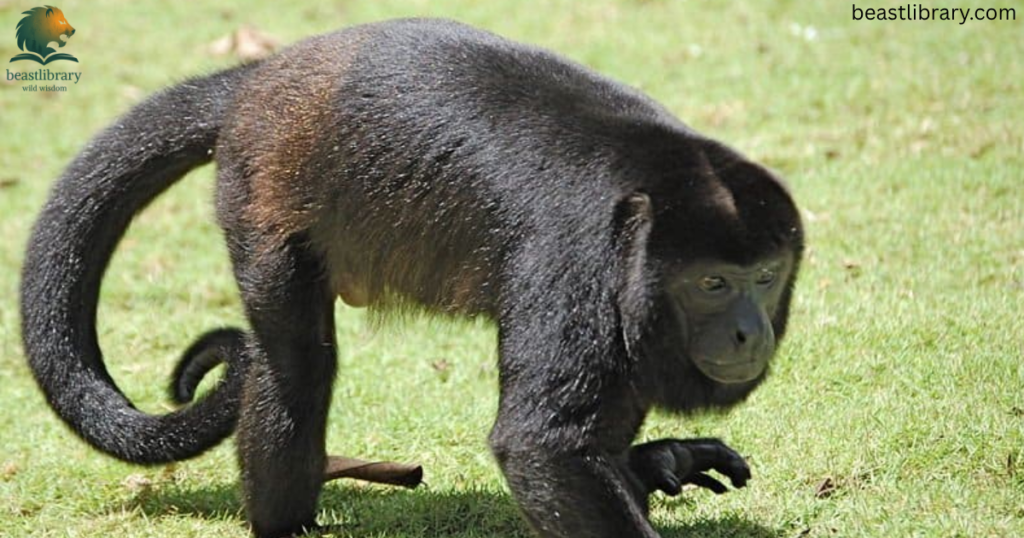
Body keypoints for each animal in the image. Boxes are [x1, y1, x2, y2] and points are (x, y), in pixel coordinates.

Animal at [20, 18, 803, 538]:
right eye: (711, 284)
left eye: (764, 277)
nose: (749, 331)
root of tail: (261, 78)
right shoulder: (571, 258)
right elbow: (541, 446)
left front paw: (653, 463)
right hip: (258, 187)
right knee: (296, 363)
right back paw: (284, 521)